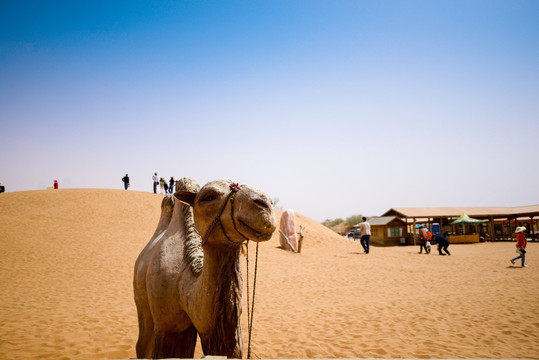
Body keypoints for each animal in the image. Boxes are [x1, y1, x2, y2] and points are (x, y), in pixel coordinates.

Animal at [133, 179, 276, 358]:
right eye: (208, 197)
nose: (265, 204)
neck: (183, 283)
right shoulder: (167, 327)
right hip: (141, 298)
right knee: (142, 343)